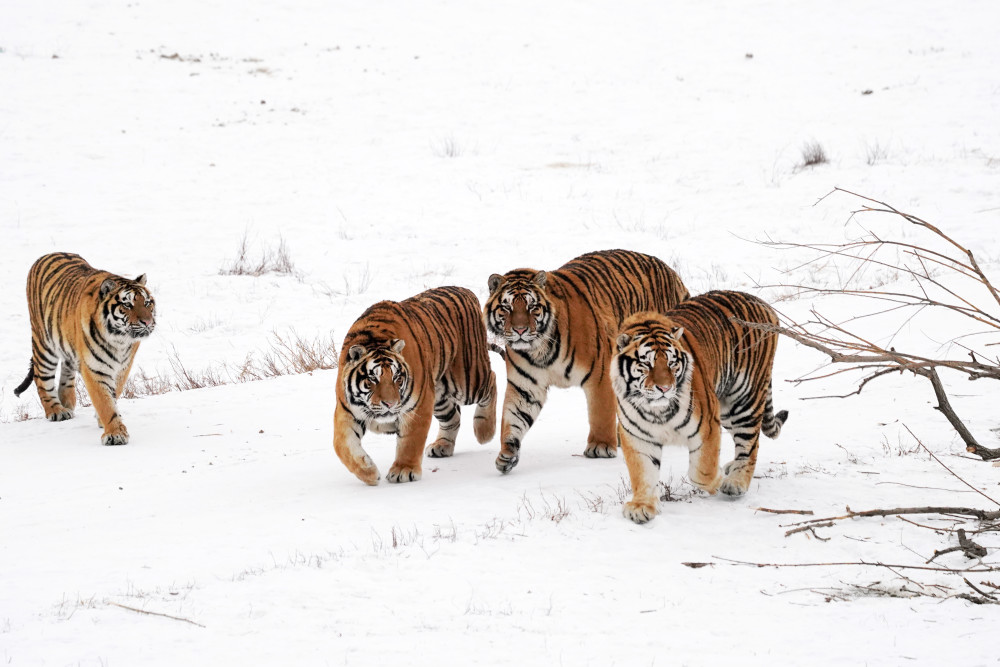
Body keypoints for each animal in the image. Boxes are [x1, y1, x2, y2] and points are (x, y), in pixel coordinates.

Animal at [12, 253, 157, 446]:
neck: (119, 340)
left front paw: (104, 421)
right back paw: (56, 410)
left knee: (66, 370)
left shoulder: (123, 367)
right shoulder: (95, 369)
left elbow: (114, 393)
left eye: (147, 303)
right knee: (41, 378)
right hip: (43, 344)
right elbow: (104, 401)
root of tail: (47, 255)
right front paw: (115, 434)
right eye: (127, 305)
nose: (148, 322)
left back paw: (67, 401)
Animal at [334, 286, 498, 486]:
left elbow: (410, 441)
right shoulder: (346, 411)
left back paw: (484, 431)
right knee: (453, 417)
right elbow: (343, 446)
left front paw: (404, 471)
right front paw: (369, 473)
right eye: (373, 379)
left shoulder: (418, 406)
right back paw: (442, 446)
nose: (389, 404)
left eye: (396, 377)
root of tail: (466, 291)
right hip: (439, 394)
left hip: (467, 381)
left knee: (492, 379)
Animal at [482, 249, 688, 474]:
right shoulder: (525, 387)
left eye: (532, 306)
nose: (520, 330)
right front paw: (507, 455)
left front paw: (600, 447)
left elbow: (601, 412)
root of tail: (672, 273)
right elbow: (513, 419)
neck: (539, 350)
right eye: (507, 307)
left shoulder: (600, 373)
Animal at [608, 290, 788, 524]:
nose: (665, 388)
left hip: (744, 400)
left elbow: (702, 473)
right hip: (726, 409)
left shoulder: (708, 427)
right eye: (646, 364)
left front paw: (719, 480)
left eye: (671, 363)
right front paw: (641, 506)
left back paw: (735, 481)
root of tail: (763, 304)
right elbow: (643, 474)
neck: (656, 411)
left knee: (749, 445)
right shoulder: (637, 437)